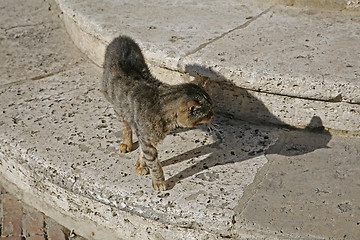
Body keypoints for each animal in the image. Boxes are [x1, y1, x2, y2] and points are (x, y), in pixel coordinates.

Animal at [101, 35, 214, 190]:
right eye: (208, 112)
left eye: (212, 107)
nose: (213, 114)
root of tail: (121, 38)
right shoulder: (146, 138)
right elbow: (154, 164)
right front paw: (159, 182)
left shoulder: (147, 138)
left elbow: (143, 153)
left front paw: (141, 164)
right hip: (116, 104)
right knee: (125, 123)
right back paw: (127, 143)